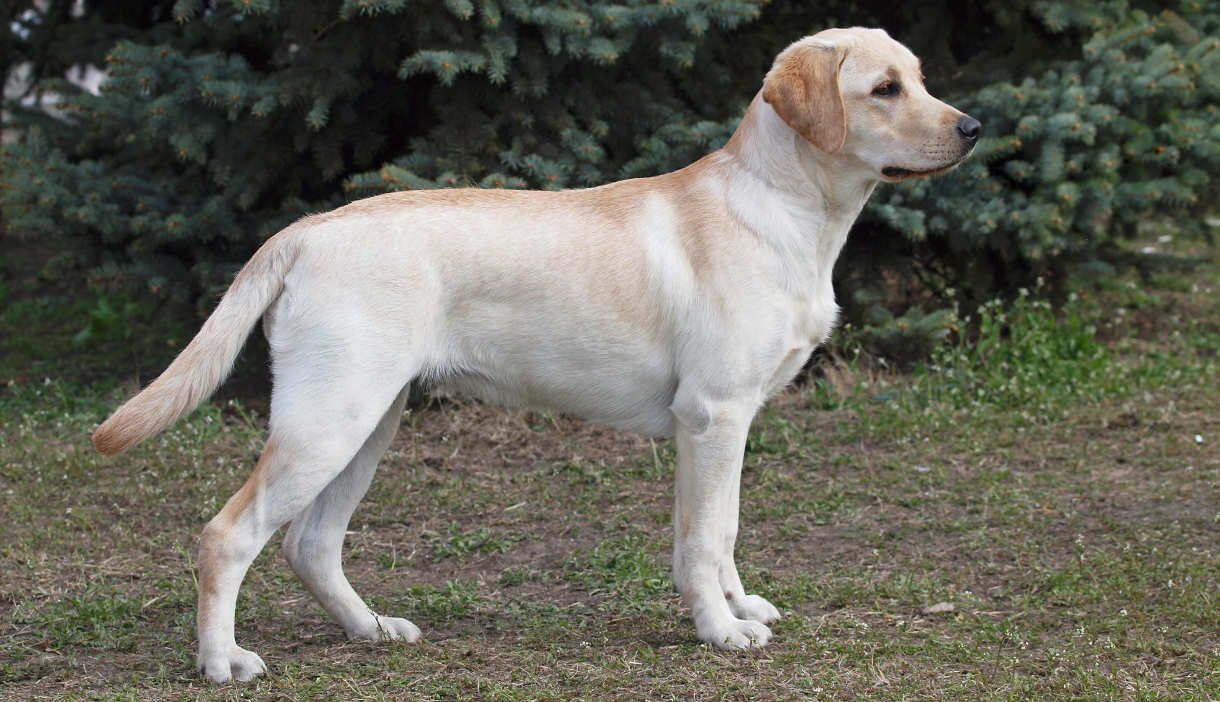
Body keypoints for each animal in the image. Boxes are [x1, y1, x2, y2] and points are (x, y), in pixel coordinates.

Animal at [90, 26, 976, 683]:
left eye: (921, 77)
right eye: (884, 89)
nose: (973, 128)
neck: (783, 209)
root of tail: (308, 229)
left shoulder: (722, 427)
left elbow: (715, 534)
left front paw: (738, 608)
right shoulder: (714, 417)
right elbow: (704, 539)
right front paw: (721, 632)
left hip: (371, 421)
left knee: (311, 545)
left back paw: (372, 628)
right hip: (328, 421)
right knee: (226, 536)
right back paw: (222, 662)